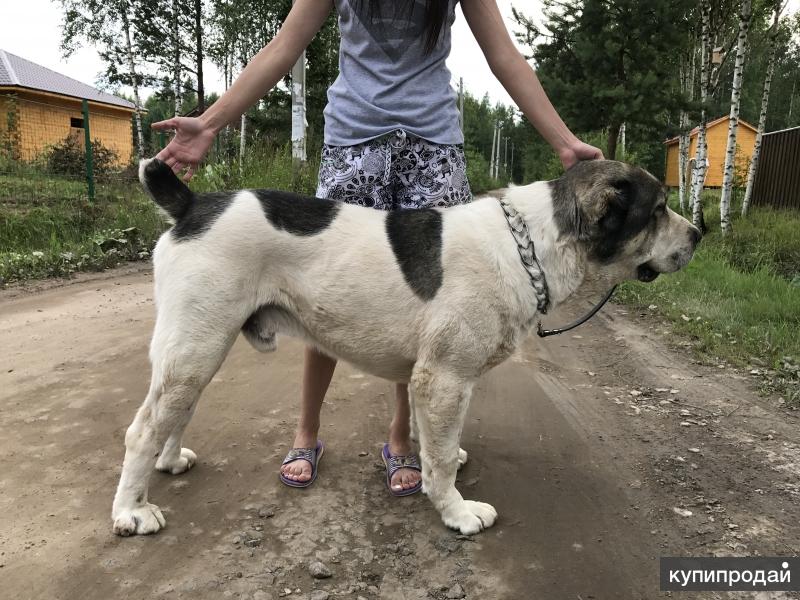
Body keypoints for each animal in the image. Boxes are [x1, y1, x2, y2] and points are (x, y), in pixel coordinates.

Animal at [112, 157, 700, 536]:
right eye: (658, 210)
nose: (700, 234)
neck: (529, 243)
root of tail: (191, 205)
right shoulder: (445, 378)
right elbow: (437, 461)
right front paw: (456, 512)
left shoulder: (431, 380)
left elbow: (430, 438)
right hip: (197, 346)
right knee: (142, 428)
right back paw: (131, 513)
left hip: (197, 348)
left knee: (174, 413)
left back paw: (169, 463)